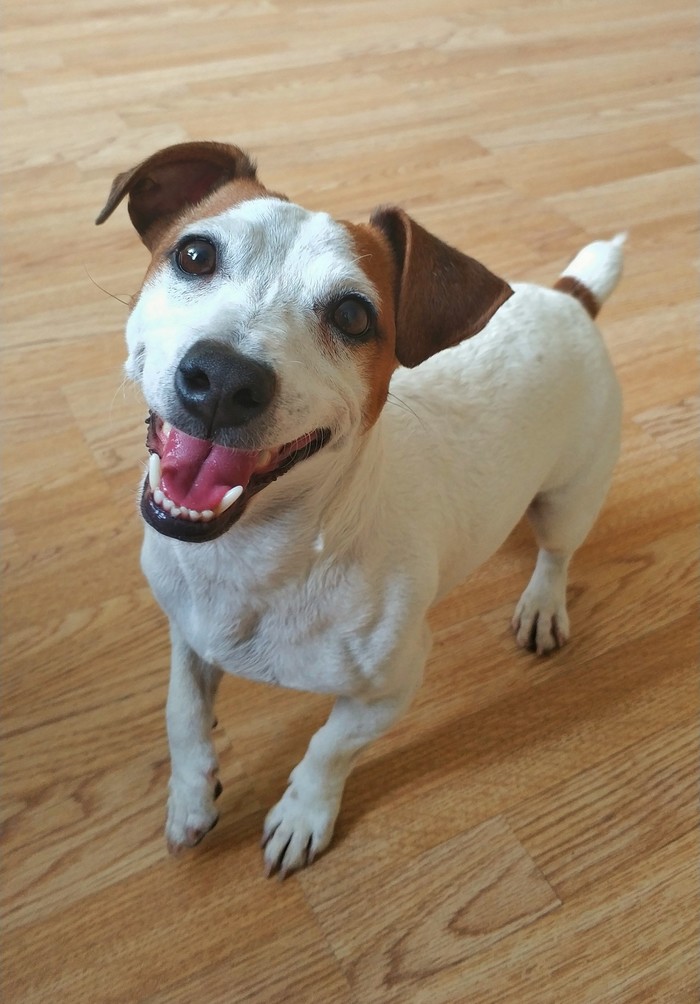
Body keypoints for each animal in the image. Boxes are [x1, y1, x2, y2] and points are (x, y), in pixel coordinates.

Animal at [96, 137, 622, 875]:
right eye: (195, 254)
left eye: (352, 315)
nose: (223, 379)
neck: (256, 556)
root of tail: (568, 298)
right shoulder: (187, 637)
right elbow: (182, 715)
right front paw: (191, 797)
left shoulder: (390, 687)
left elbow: (328, 748)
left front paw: (301, 813)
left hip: (570, 495)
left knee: (557, 551)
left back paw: (543, 604)